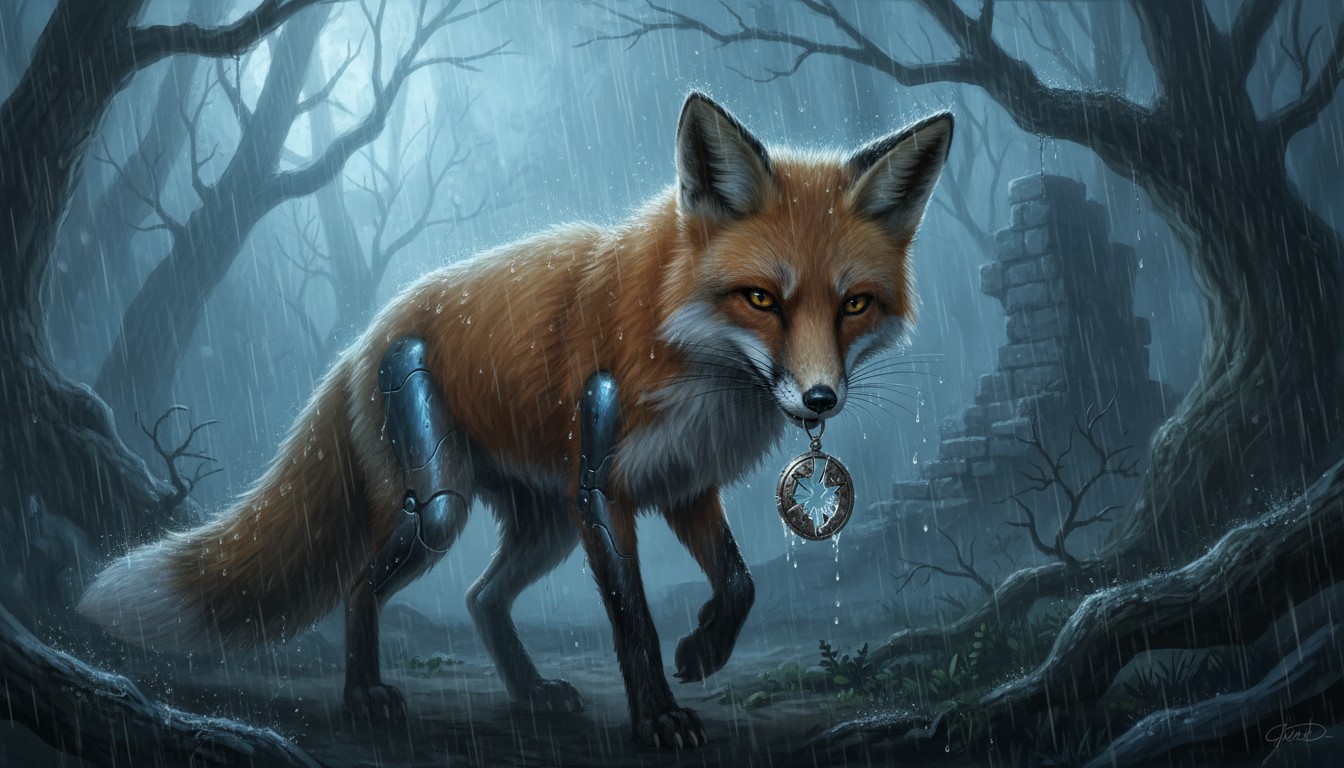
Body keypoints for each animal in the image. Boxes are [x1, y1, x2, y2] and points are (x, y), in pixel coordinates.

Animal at [79, 92, 952, 749]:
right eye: (762, 298)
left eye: (855, 305)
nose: (820, 400)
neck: (694, 355)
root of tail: (363, 337)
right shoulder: (603, 486)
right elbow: (632, 620)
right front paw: (658, 716)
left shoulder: (682, 484)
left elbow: (739, 583)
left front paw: (704, 648)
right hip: (450, 504)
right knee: (368, 578)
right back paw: (363, 695)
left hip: (548, 523)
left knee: (481, 599)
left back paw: (529, 692)